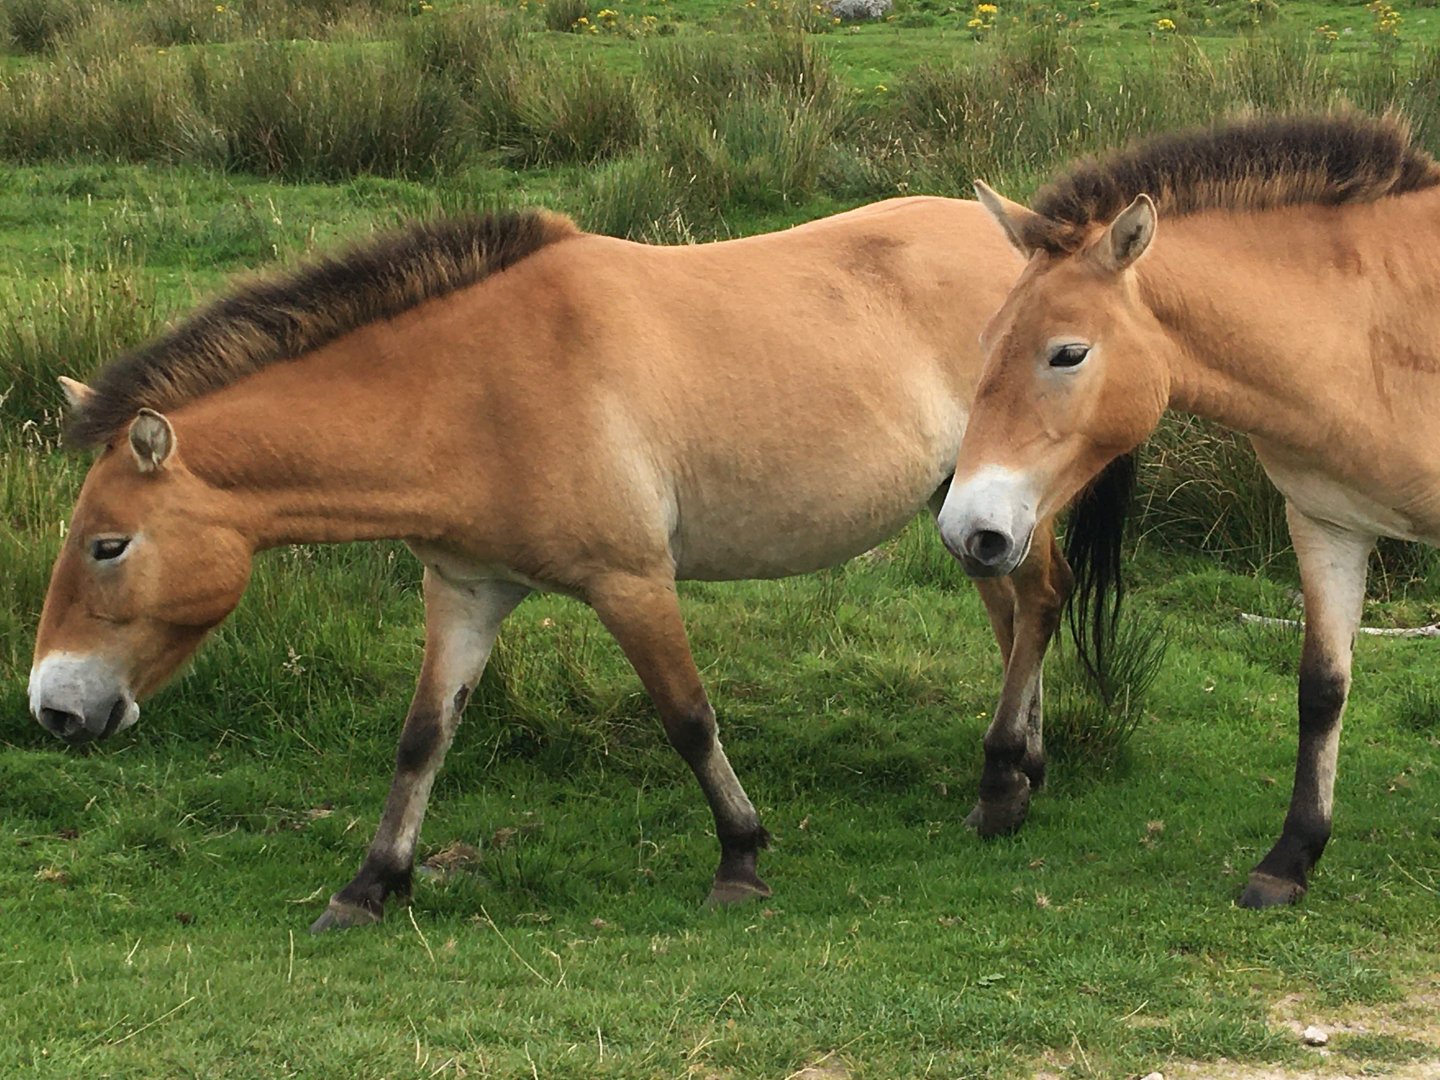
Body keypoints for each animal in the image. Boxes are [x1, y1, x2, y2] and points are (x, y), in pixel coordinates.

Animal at [29, 196, 1074, 932]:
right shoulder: (464, 590)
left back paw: (1001, 786)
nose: (53, 708)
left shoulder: (631, 582)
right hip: (966, 511)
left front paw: (740, 859)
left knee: (1040, 606)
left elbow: (688, 719)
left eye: (108, 545)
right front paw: (370, 884)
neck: (470, 388)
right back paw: (1024, 765)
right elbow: (423, 739)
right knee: (1013, 618)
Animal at [935, 111, 1440, 908]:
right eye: (986, 341)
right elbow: (1322, 688)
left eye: (1068, 353)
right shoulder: (1328, 525)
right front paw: (1290, 859)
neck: (1381, 331)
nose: (966, 529)